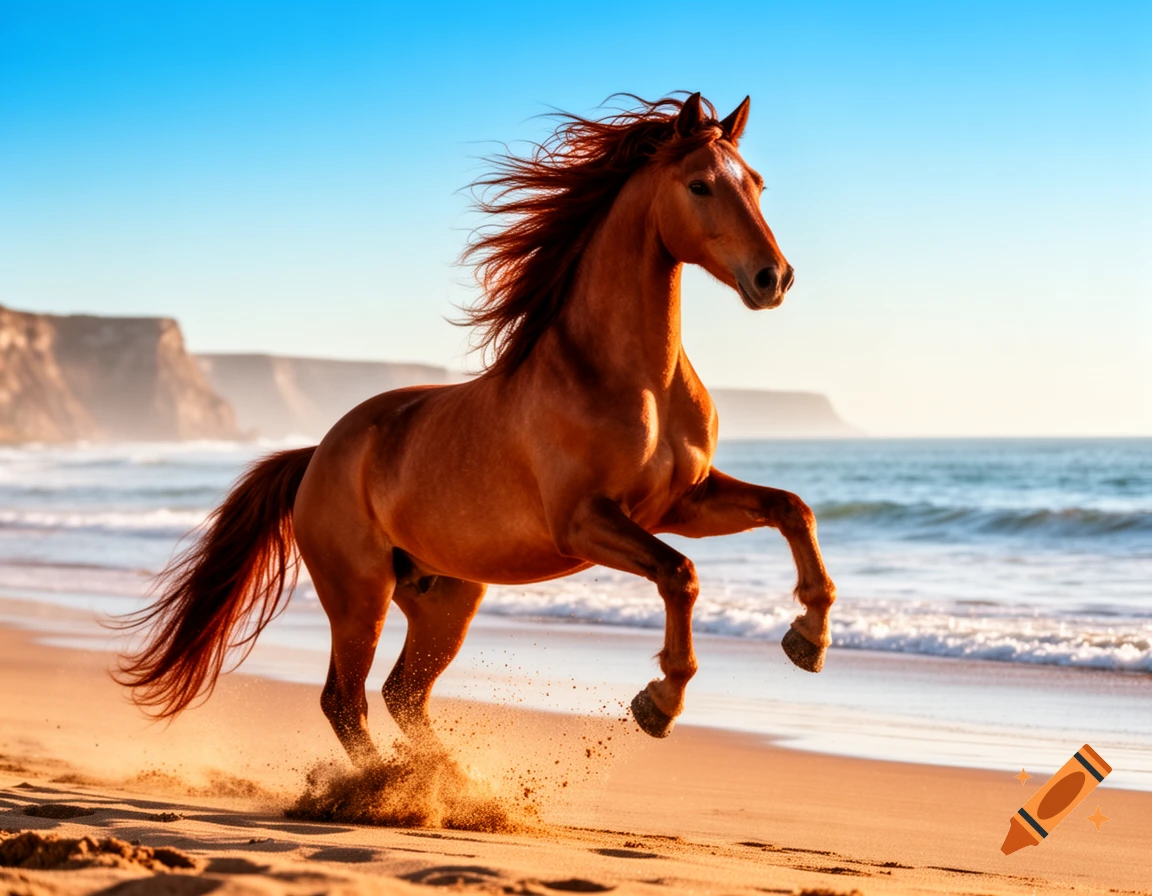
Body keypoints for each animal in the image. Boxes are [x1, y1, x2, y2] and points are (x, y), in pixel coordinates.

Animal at [116, 93, 837, 768]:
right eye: (700, 185)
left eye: (757, 183)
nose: (774, 278)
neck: (631, 379)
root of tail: (320, 453)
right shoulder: (586, 521)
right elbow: (679, 574)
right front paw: (660, 700)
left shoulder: (681, 502)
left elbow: (790, 508)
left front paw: (809, 636)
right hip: (360, 597)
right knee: (345, 701)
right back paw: (400, 791)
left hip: (446, 600)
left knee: (402, 695)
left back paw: (454, 786)